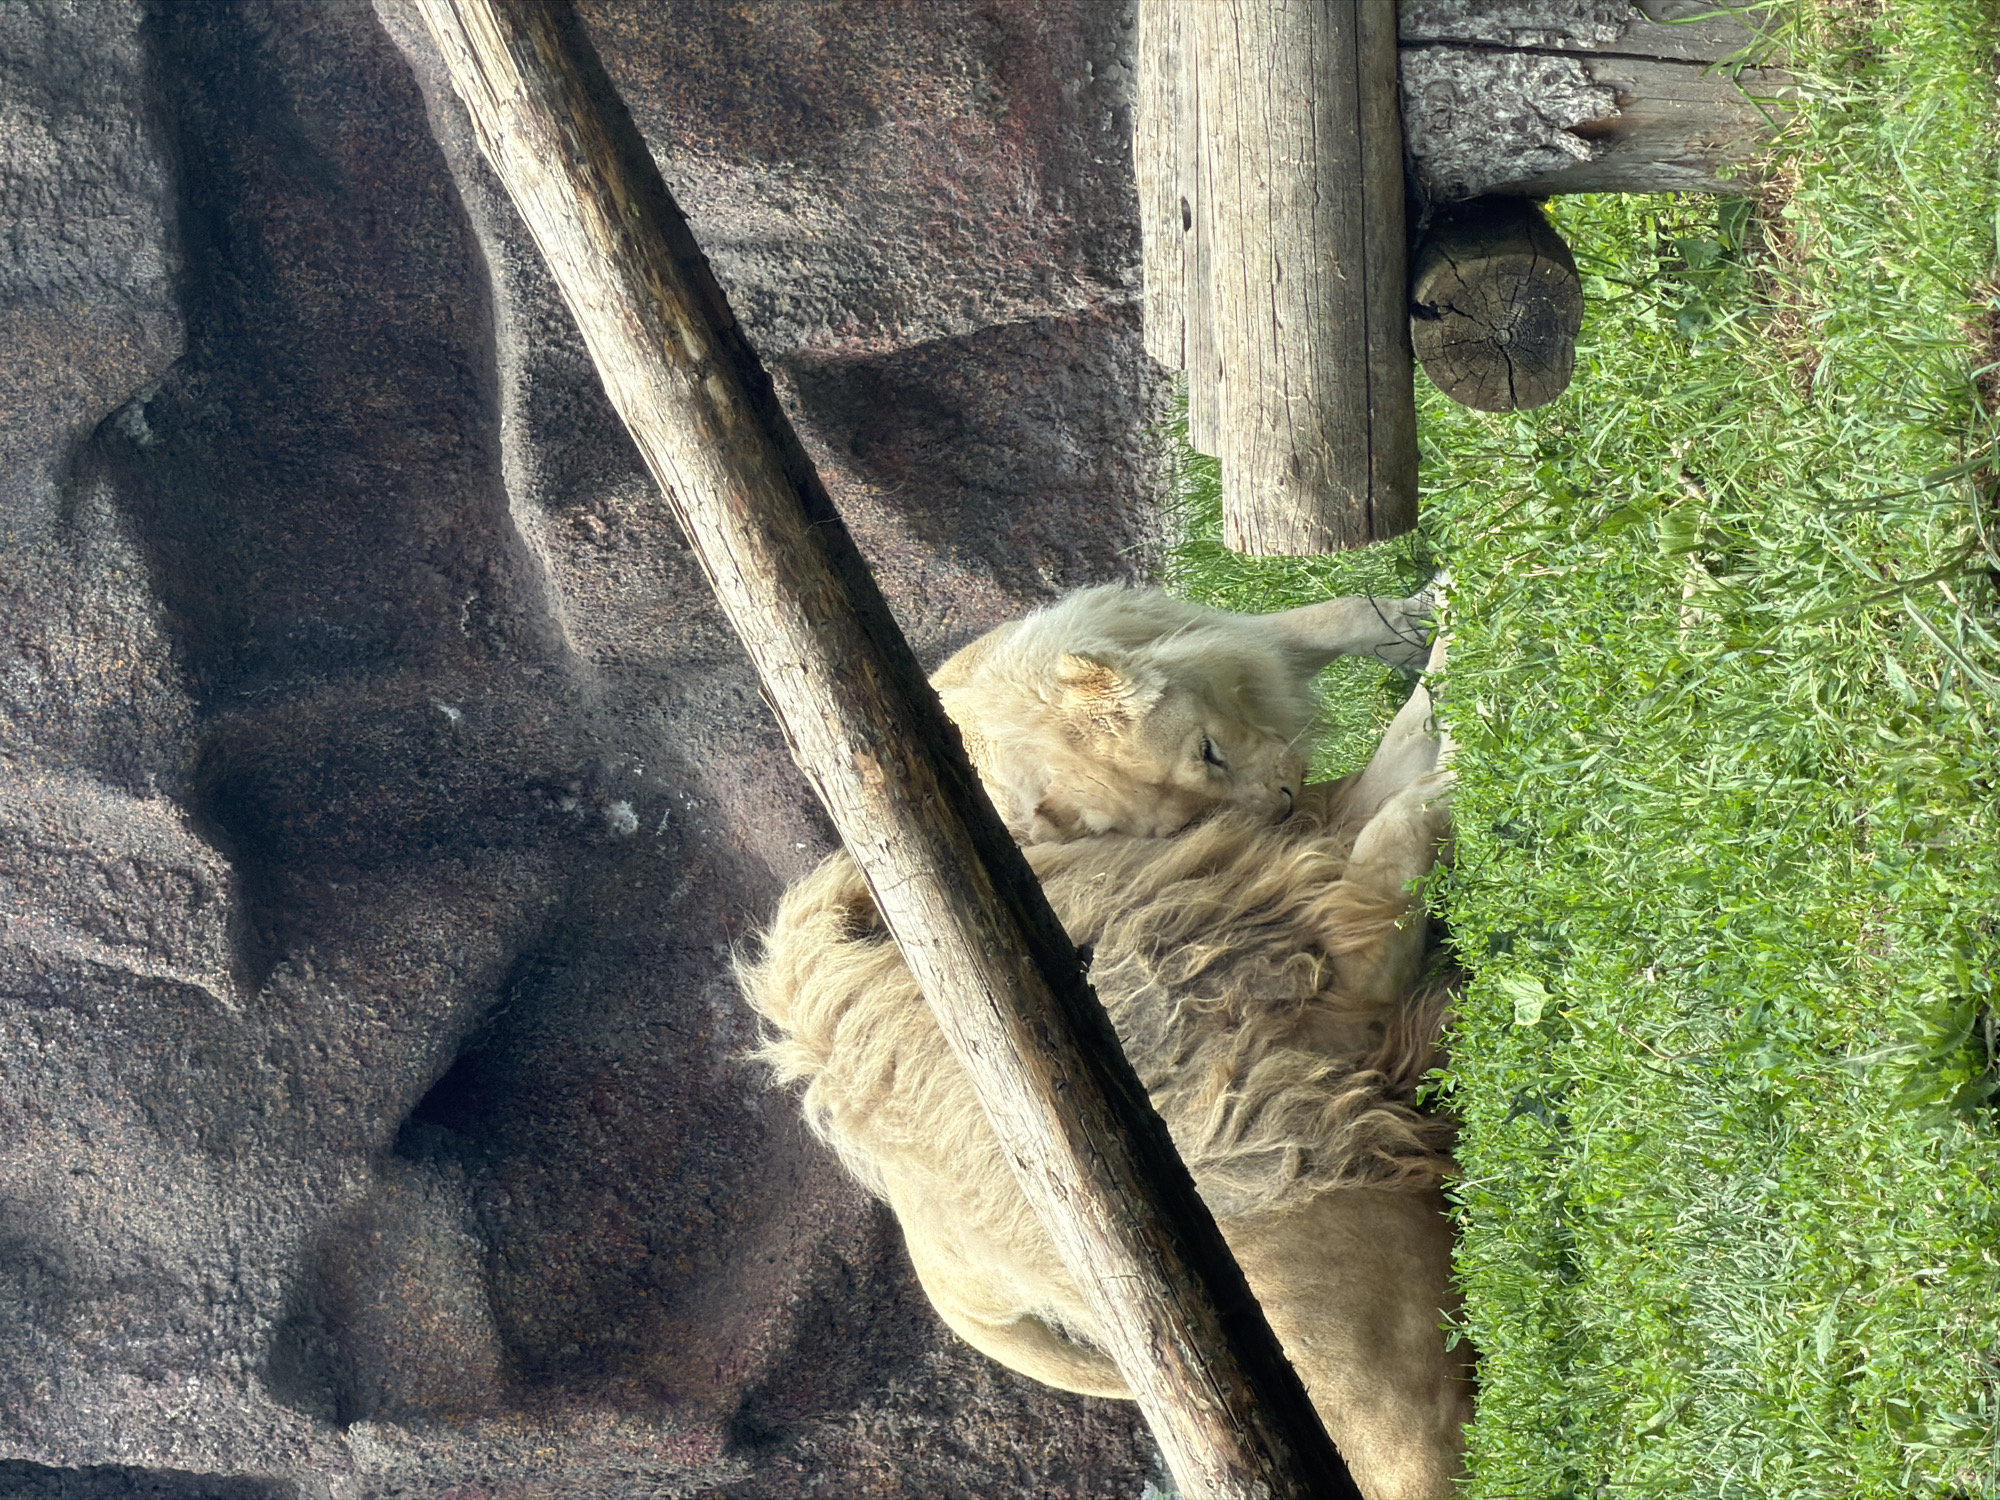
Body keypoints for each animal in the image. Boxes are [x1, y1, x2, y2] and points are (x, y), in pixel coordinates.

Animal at [737, 588, 1469, 1500]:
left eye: (1208, 754)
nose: (1279, 799)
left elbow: (1344, 652)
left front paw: (1421, 617)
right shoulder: (1335, 954)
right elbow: (1408, 796)